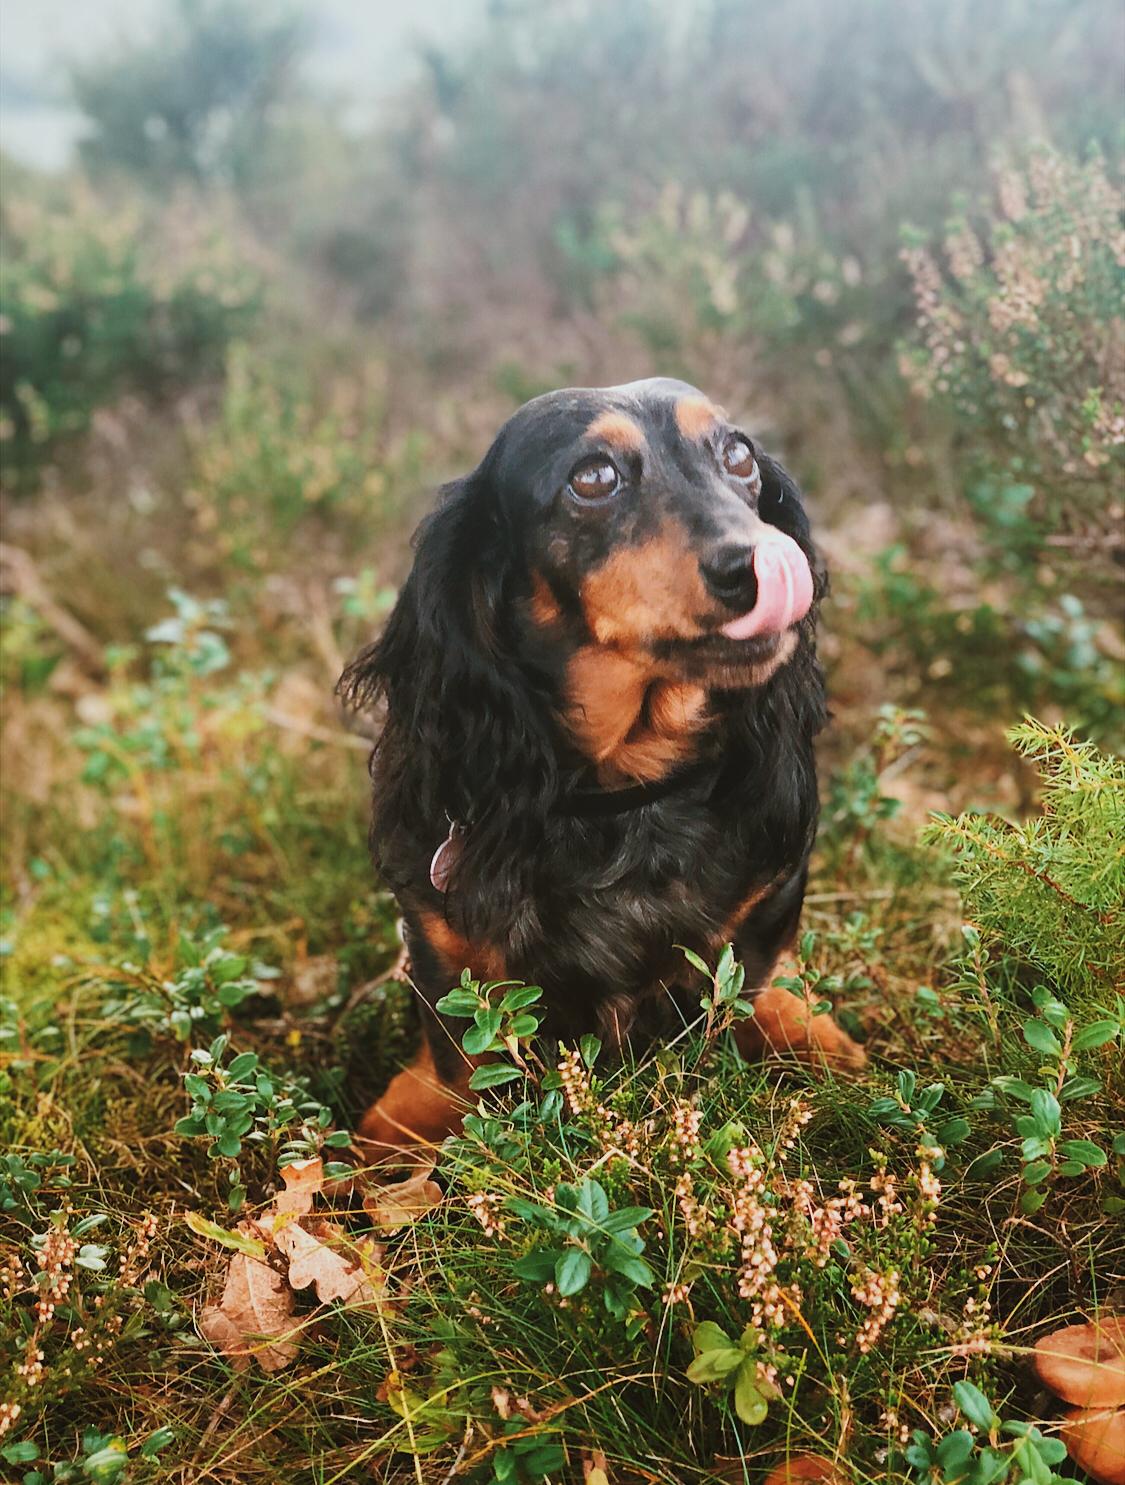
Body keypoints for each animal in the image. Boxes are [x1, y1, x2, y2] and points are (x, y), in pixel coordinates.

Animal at [339, 374, 866, 1158]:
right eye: (592, 478)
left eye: (739, 455)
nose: (765, 564)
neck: (626, 800)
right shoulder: (441, 942)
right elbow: (456, 1059)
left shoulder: (766, 903)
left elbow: (755, 979)